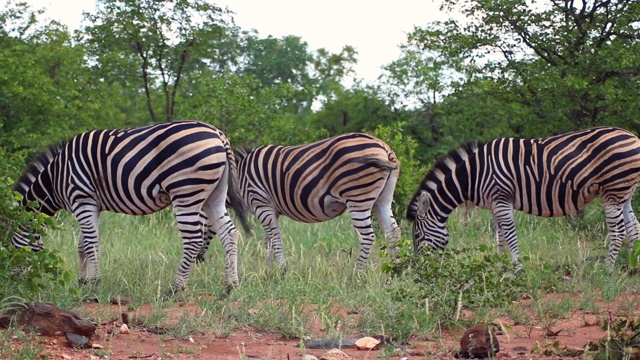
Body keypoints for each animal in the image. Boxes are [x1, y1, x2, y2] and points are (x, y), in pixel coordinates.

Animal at [11, 119, 250, 294]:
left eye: (11, 246)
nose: (14, 281)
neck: (56, 177)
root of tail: (219, 135)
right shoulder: (92, 205)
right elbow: (82, 245)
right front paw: (82, 280)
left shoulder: (82, 199)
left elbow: (91, 244)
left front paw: (95, 282)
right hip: (214, 195)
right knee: (230, 233)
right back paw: (231, 285)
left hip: (186, 192)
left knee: (193, 241)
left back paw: (175, 287)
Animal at [198, 132, 402, 272]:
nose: (200, 260)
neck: (238, 179)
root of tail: (383, 147)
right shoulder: (270, 209)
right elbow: (269, 240)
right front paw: (268, 270)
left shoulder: (261, 203)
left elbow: (275, 237)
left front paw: (281, 270)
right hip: (382, 200)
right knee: (393, 232)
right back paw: (394, 272)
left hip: (358, 198)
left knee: (368, 236)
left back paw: (357, 274)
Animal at [408, 128, 640, 272]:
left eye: (417, 235)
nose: (420, 268)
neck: (473, 175)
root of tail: (632, 136)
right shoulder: (494, 204)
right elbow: (500, 238)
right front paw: (502, 268)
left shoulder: (502, 199)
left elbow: (510, 236)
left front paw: (517, 269)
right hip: (625, 192)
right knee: (634, 227)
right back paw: (632, 267)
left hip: (613, 190)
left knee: (618, 231)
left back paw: (607, 270)